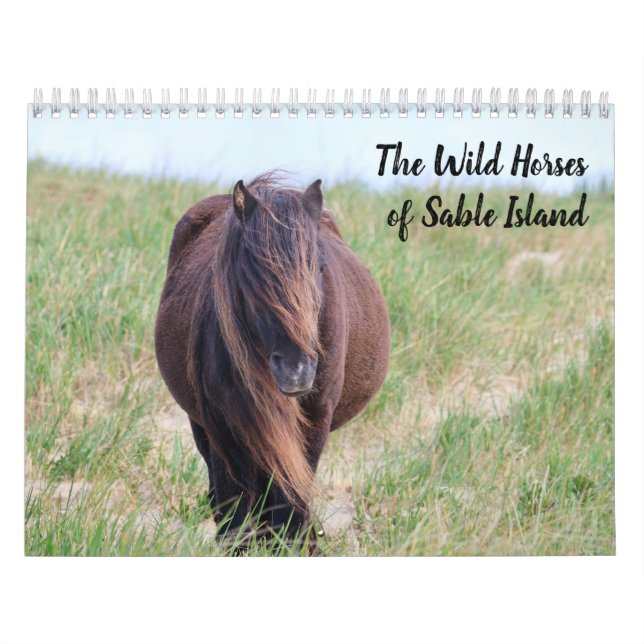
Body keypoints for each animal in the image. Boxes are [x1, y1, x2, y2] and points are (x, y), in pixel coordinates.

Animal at [154, 175, 390, 543]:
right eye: (249, 271)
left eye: (319, 266)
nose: (296, 371)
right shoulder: (223, 429)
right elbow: (234, 514)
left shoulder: (314, 422)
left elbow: (288, 509)